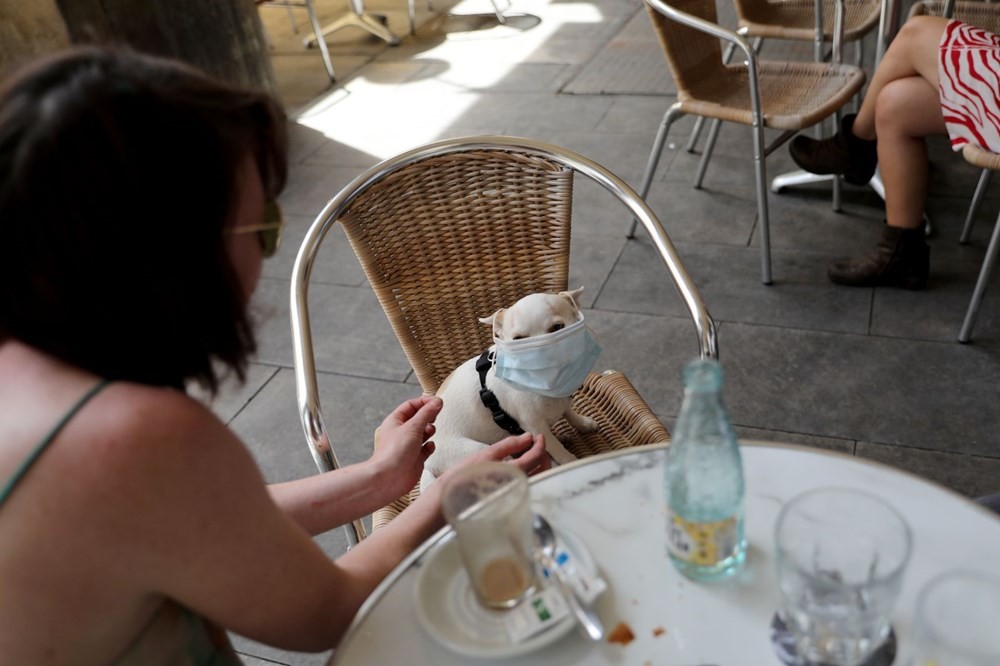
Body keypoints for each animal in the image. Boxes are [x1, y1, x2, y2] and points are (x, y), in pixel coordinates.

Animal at [422, 288, 600, 490]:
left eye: (557, 327)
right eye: (518, 340)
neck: (547, 381)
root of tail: (428, 465)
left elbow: (568, 412)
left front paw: (583, 423)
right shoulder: (535, 426)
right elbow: (558, 451)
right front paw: (572, 462)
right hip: (479, 452)